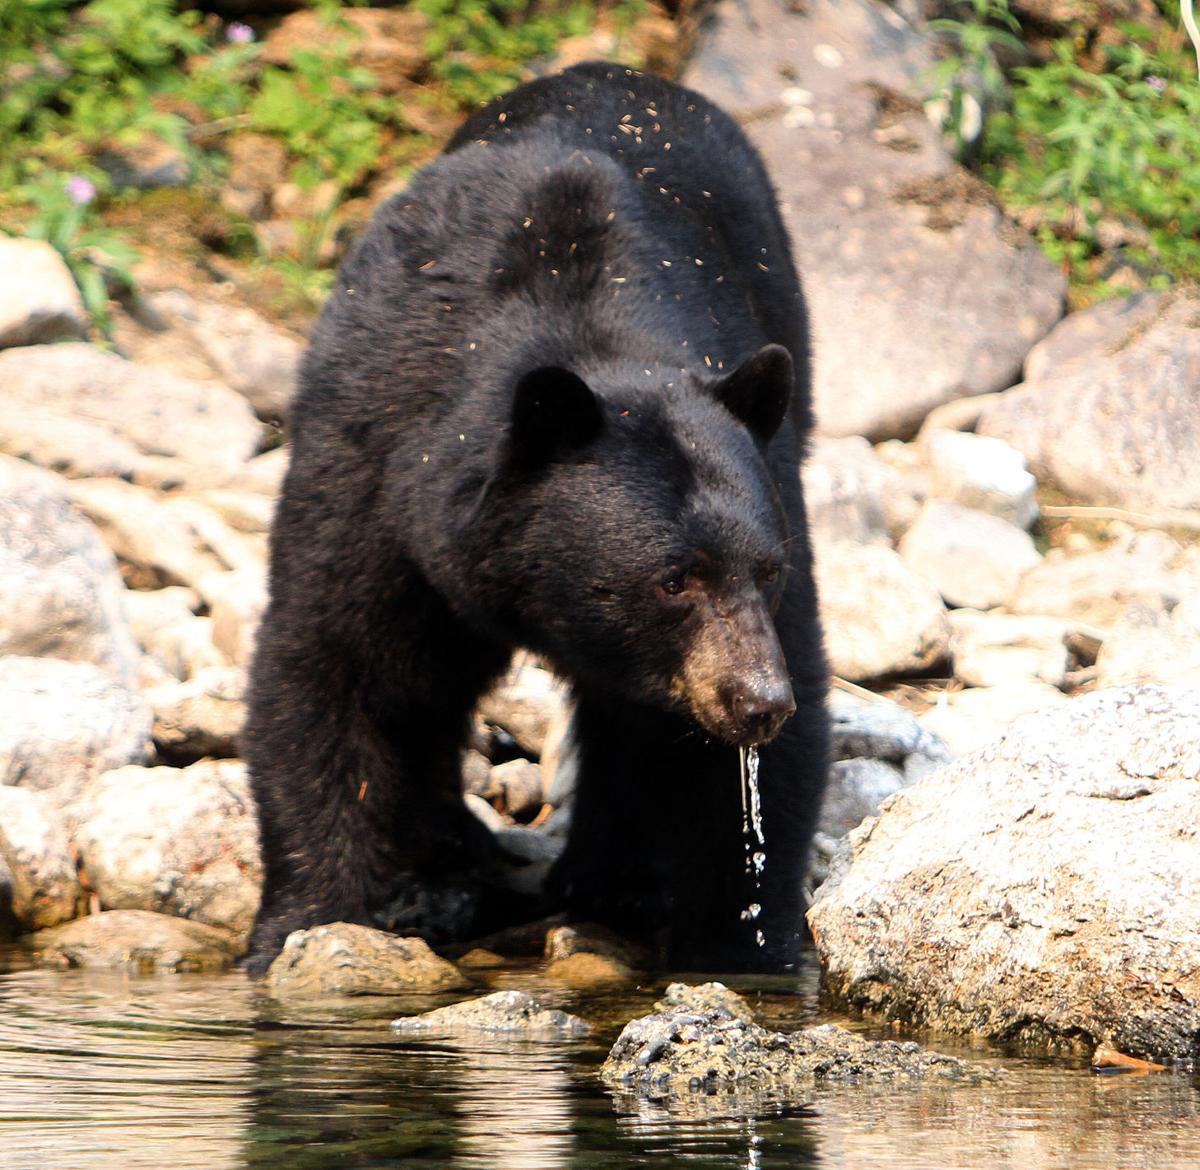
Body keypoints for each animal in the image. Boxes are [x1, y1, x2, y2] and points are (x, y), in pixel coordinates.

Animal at [243, 62, 830, 976]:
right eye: (674, 580)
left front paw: (742, 942)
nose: (759, 701)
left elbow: (745, 763)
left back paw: (606, 881)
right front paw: (303, 924)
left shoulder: (773, 498)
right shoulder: (376, 464)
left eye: (765, 571)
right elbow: (335, 667)